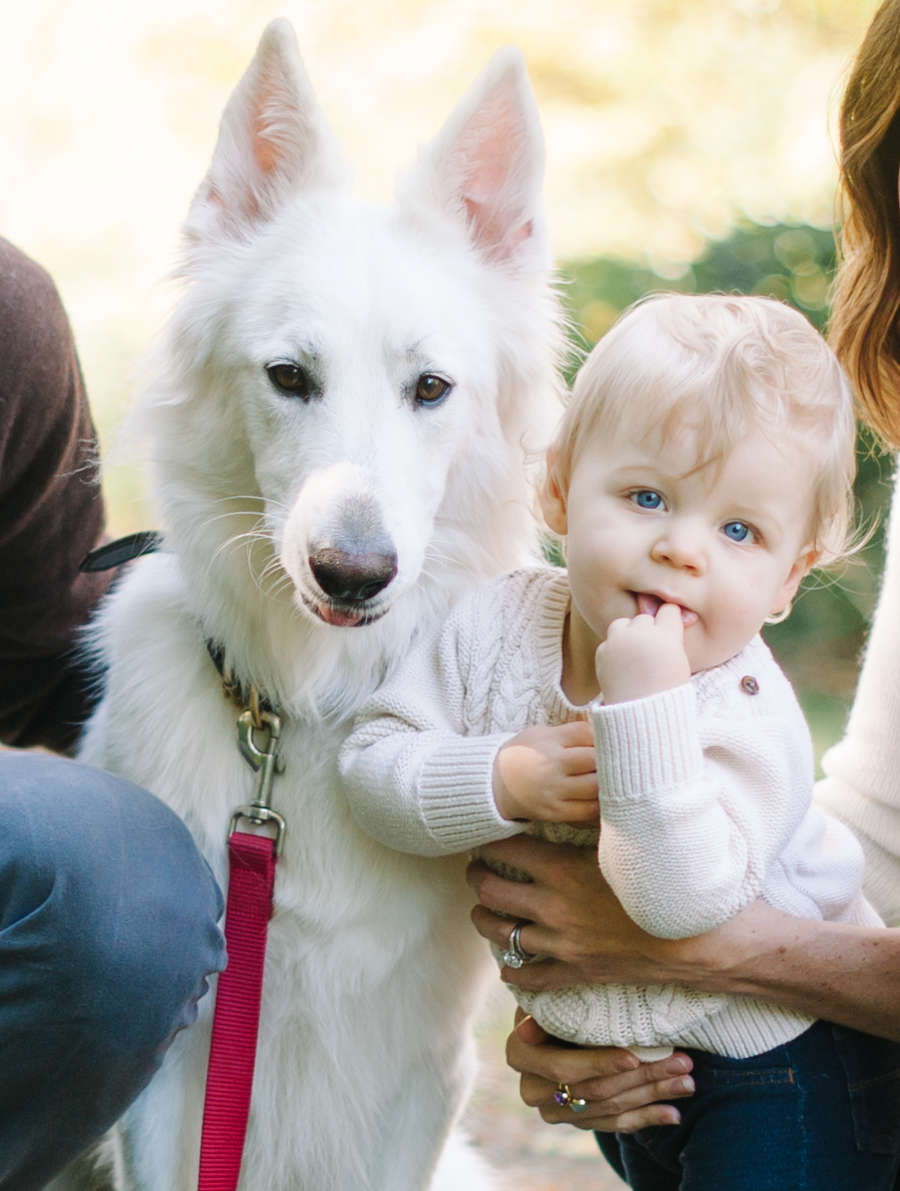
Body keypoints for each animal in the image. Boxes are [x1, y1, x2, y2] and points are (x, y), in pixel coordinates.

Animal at [80, 20, 566, 1191]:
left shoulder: (423, 1072)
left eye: (431, 388)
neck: (301, 723)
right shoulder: (178, 1077)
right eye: (289, 376)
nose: (353, 572)